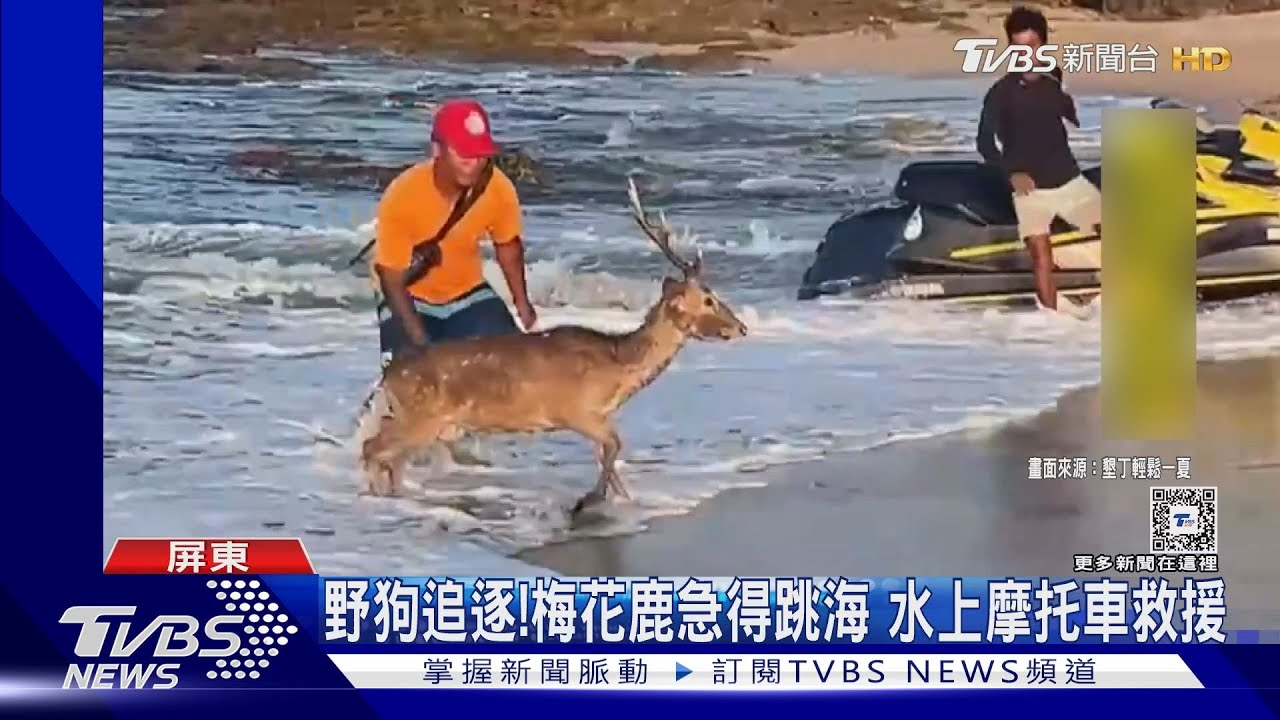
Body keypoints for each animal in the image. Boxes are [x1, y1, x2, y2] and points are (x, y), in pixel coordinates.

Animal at [356, 178, 749, 516]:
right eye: (708, 300)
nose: (741, 327)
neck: (616, 367)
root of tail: (388, 375)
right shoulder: (576, 410)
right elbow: (614, 447)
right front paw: (586, 501)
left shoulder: (596, 417)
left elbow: (611, 463)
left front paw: (619, 502)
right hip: (420, 415)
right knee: (372, 448)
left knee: (389, 457)